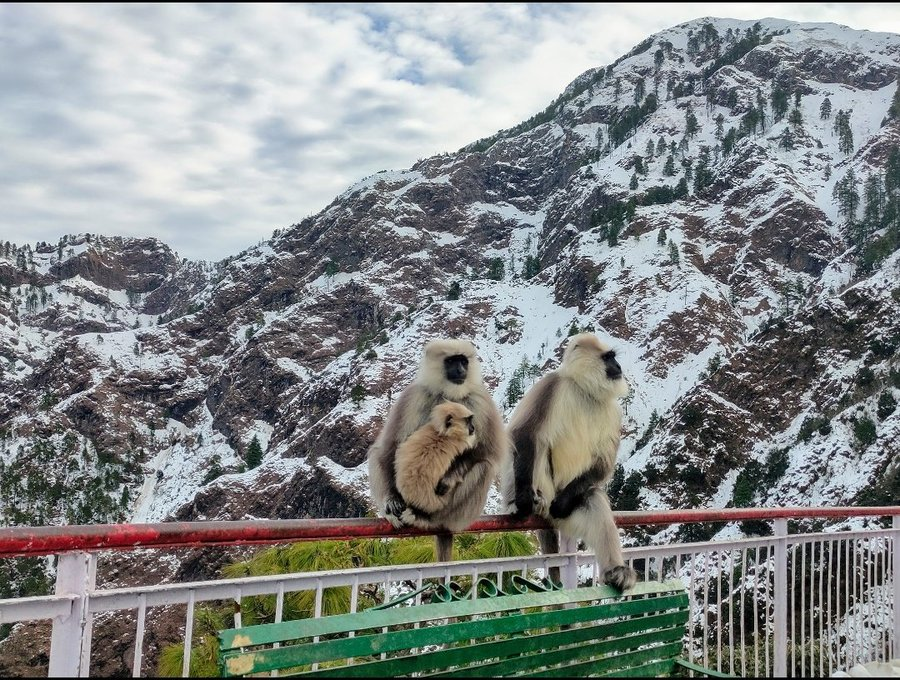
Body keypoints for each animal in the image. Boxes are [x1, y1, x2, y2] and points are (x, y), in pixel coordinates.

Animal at [368, 338, 509, 562]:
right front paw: (390, 502)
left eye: (463, 361)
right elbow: (387, 448)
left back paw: (426, 518)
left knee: (484, 466)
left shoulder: (480, 400)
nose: (460, 369)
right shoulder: (414, 395)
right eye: (451, 361)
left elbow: (489, 452)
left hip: (447, 507)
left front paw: (449, 478)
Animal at [500, 332, 638, 591]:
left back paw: (616, 571)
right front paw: (522, 500)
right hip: (546, 485)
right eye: (608, 357)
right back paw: (529, 500)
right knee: (539, 445)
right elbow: (526, 433)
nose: (619, 367)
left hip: (571, 505)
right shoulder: (551, 385)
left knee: (592, 498)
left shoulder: (614, 411)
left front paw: (562, 504)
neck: (585, 390)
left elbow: (603, 464)